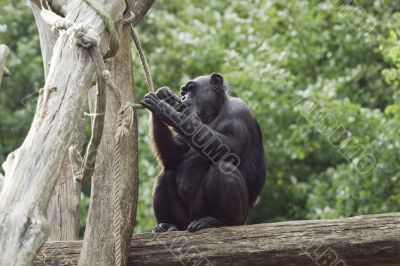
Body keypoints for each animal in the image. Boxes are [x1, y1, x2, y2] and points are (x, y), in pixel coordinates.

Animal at [141, 73, 266, 233]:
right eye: (183, 92)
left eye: (191, 89)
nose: (183, 98)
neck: (215, 111)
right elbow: (174, 156)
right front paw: (163, 95)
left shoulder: (238, 111)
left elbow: (230, 149)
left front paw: (164, 109)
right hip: (185, 220)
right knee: (167, 173)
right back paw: (167, 224)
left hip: (229, 216)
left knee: (223, 168)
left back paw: (219, 221)